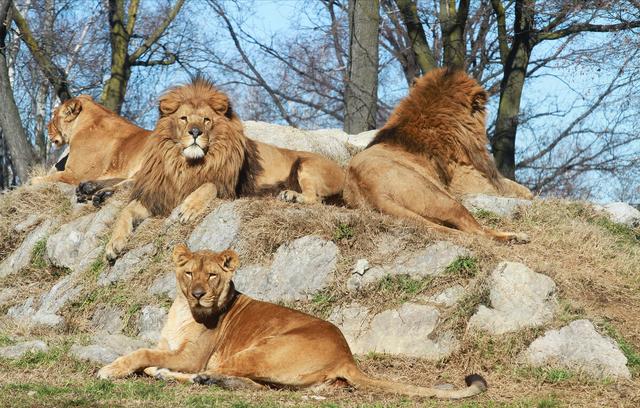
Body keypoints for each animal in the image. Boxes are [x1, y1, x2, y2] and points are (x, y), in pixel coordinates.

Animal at [96, 244, 484, 400]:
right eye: (189, 273)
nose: (198, 293)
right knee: (254, 385)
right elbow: (148, 349)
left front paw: (111, 369)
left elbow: (143, 353)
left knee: (221, 374)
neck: (183, 311)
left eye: (212, 275)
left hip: (263, 348)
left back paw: (179, 376)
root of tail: (347, 356)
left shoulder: (190, 356)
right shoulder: (170, 345)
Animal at [107, 76, 342, 260]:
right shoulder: (159, 198)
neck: (186, 165)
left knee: (315, 199)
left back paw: (292, 196)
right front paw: (113, 245)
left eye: (206, 120)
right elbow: (125, 211)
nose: (195, 132)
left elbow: (207, 185)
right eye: (183, 118)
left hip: (306, 164)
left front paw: (188, 208)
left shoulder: (228, 190)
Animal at [344, 67, 528, 242]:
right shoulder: (469, 179)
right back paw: (515, 236)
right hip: (443, 197)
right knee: (477, 231)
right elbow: (516, 188)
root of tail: (373, 192)